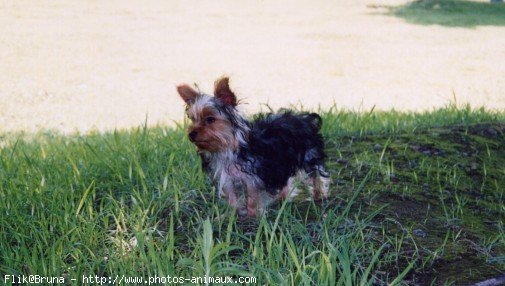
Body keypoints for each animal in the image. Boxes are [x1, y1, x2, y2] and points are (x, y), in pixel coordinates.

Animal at [175, 77, 328, 217]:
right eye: (193, 119)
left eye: (210, 119)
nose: (191, 134)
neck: (228, 148)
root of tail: (304, 118)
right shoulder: (226, 176)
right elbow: (232, 196)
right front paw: (233, 213)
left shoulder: (253, 176)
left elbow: (252, 196)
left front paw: (252, 215)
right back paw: (282, 197)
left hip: (309, 155)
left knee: (316, 174)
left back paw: (319, 194)